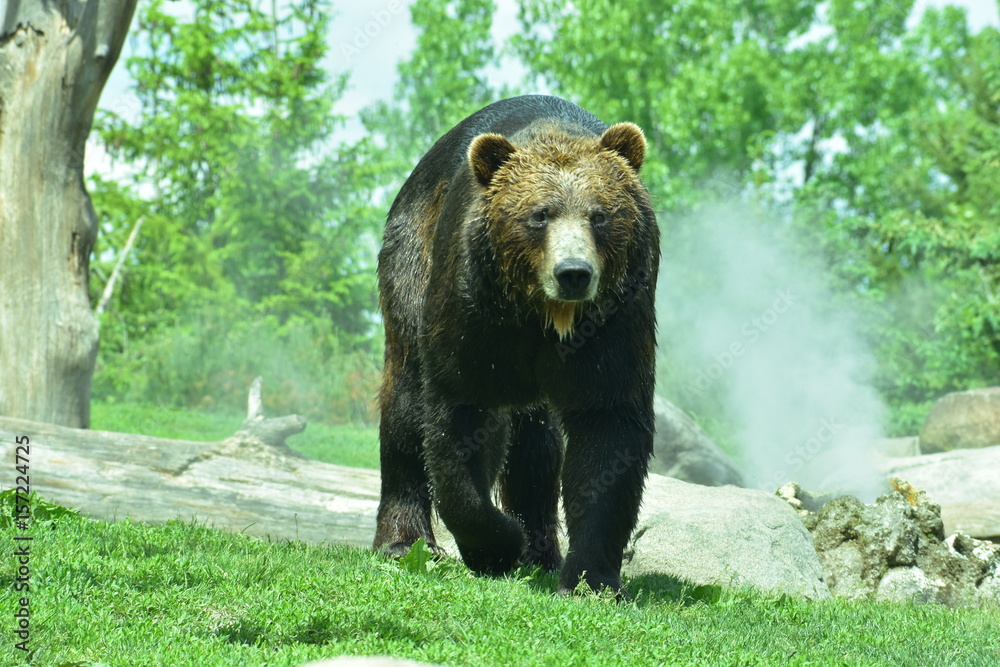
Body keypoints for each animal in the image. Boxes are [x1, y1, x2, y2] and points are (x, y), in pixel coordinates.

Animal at [373, 94, 659, 596]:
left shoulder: (618, 319)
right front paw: (496, 544)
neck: (543, 316)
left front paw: (592, 578)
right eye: (539, 214)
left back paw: (540, 551)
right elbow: (459, 416)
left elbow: (608, 430)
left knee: (536, 447)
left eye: (599, 215)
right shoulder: (474, 312)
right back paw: (404, 541)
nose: (573, 273)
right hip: (411, 258)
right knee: (406, 402)